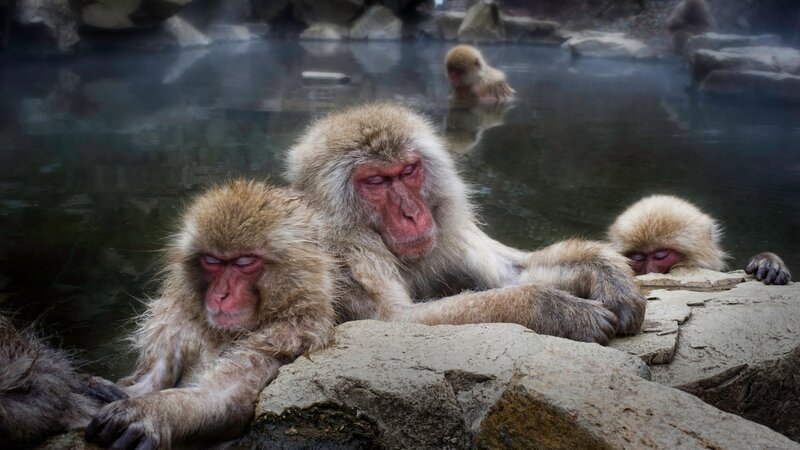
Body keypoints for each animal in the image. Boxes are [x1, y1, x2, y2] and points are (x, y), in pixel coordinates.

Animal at [84, 180, 336, 450]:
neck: (224, 334)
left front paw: (151, 411)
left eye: (244, 261)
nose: (220, 294)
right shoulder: (176, 321)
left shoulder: (289, 335)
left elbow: (226, 398)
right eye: (212, 261)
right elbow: (150, 378)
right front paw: (110, 390)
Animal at [286, 102, 646, 346]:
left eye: (408, 171)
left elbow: (511, 272)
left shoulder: (448, 231)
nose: (411, 213)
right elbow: (395, 321)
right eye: (375, 181)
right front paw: (552, 309)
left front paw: (607, 273)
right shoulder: (343, 251)